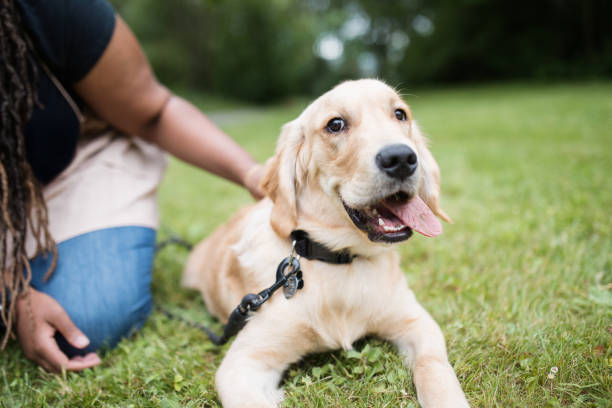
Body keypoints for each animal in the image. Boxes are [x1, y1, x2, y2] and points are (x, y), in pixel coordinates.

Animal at [182, 79, 468, 408]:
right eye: (336, 124)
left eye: (400, 114)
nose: (401, 159)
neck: (340, 261)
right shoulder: (242, 364)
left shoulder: (416, 322)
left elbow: (433, 368)